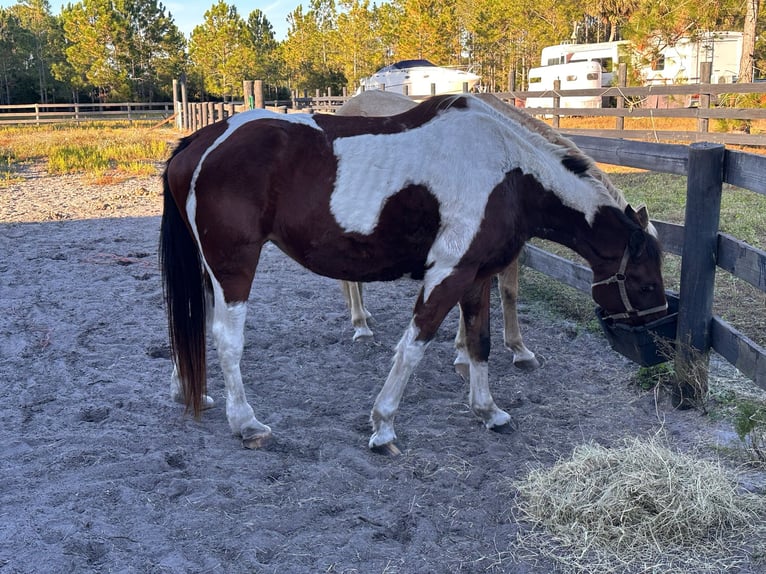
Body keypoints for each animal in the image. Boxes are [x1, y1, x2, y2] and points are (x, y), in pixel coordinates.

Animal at [334, 90, 657, 376]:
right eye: (645, 284)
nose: (655, 337)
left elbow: (508, 292)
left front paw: (518, 350)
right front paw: (465, 355)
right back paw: (361, 325)